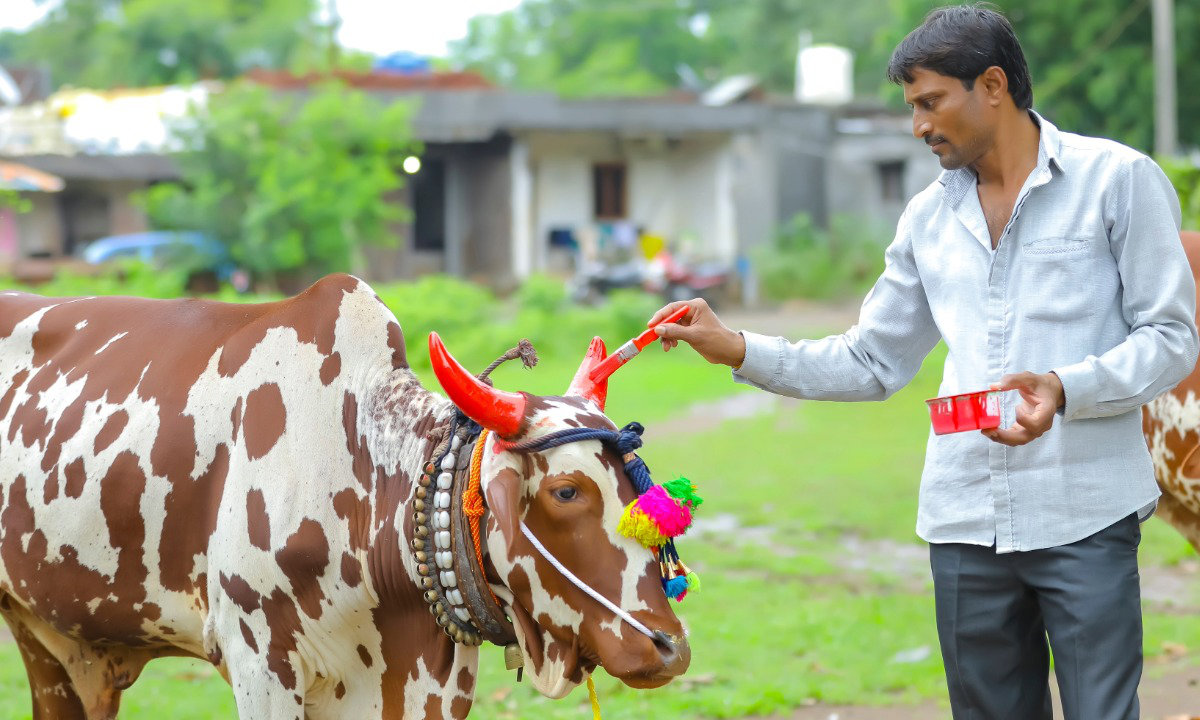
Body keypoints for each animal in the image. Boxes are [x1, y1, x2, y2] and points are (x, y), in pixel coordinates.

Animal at [0, 273, 690, 719]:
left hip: (46, 637)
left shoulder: (427, 685)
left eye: (634, 485)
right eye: (567, 490)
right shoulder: (259, 666)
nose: (669, 648)